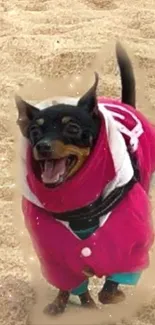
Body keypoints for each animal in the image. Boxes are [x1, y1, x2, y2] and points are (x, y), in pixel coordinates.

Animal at [15, 43, 154, 314]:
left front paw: (111, 293)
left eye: (72, 128)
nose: (42, 146)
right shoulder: (53, 256)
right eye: (34, 130)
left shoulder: (133, 245)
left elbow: (112, 284)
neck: (76, 204)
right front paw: (68, 303)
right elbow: (69, 284)